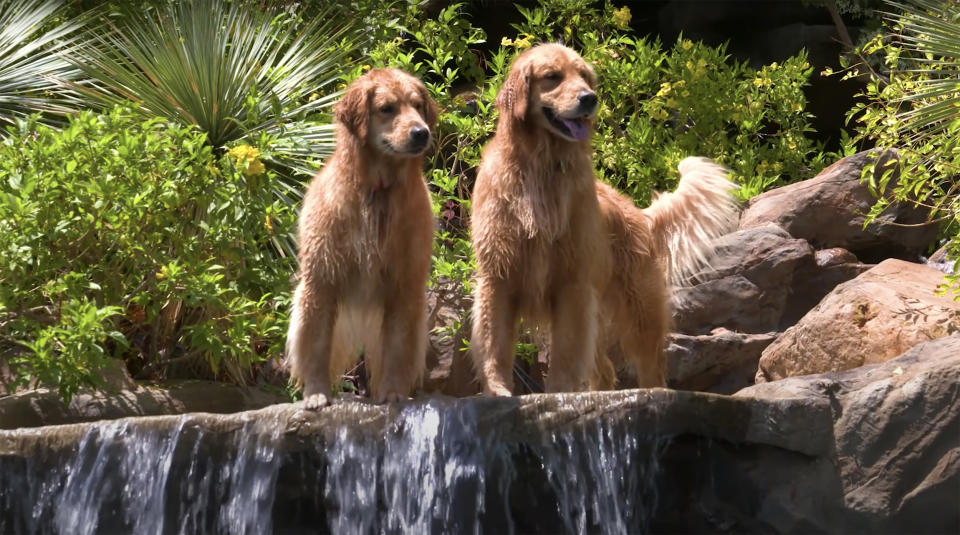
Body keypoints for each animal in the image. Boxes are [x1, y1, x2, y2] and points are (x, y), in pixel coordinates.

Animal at [284, 69, 436, 408]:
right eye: (386, 108)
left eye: (418, 105)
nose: (421, 132)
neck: (378, 190)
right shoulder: (321, 281)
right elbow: (317, 346)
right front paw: (316, 393)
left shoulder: (404, 286)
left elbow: (396, 348)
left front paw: (392, 393)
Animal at [470, 44, 736, 396]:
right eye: (552, 76)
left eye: (584, 76)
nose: (589, 98)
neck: (541, 166)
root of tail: (640, 214)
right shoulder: (498, 278)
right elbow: (494, 345)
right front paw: (498, 390)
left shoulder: (571, 285)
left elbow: (566, 355)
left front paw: (559, 393)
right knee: (605, 370)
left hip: (638, 312)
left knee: (650, 365)